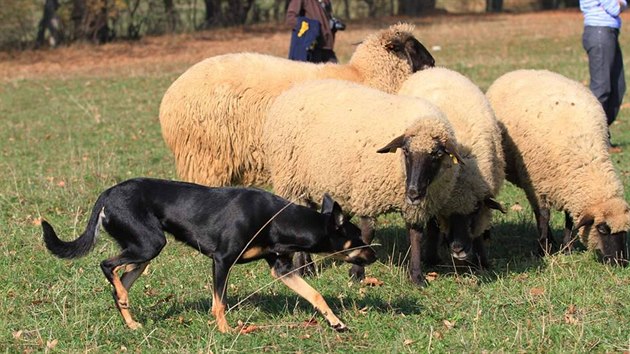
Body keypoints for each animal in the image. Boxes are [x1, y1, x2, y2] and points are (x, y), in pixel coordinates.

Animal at [42, 180, 378, 332]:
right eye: (358, 239)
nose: (374, 256)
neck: (276, 219)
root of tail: (108, 193)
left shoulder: (282, 270)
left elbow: (315, 295)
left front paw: (337, 323)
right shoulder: (222, 261)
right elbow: (220, 303)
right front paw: (226, 331)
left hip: (143, 251)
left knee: (119, 279)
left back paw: (131, 321)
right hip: (149, 244)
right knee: (107, 265)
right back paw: (125, 303)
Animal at [262, 79, 464, 286]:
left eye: (437, 154)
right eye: (406, 151)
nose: (414, 192)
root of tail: (296, 88)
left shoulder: (415, 207)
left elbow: (415, 236)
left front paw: (417, 277)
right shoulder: (368, 193)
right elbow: (367, 234)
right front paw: (357, 273)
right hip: (291, 181)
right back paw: (303, 269)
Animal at [400, 67, 508, 268]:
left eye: (474, 210)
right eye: (446, 214)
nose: (458, 249)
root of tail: (434, 69)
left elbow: (479, 231)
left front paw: (482, 262)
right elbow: (433, 226)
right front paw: (431, 257)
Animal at [488, 69, 630, 264]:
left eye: (626, 230)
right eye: (602, 229)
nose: (621, 262)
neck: (585, 155)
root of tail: (523, 70)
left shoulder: (570, 188)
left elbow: (569, 219)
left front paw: (567, 248)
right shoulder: (538, 185)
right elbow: (543, 216)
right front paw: (543, 249)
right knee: (539, 214)